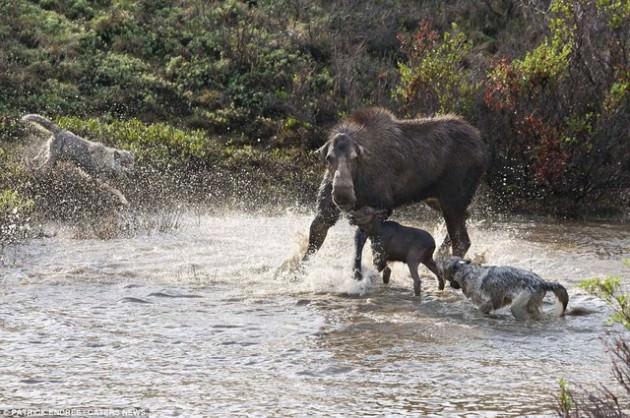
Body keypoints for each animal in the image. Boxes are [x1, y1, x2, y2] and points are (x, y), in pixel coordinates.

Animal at [304, 106, 492, 280]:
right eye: (329, 158)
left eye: (355, 157)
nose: (342, 195)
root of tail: (483, 148)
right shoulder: (327, 211)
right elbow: (315, 236)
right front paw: (299, 271)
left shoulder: (382, 206)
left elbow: (364, 240)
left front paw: (361, 273)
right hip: (436, 199)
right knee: (465, 219)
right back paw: (439, 257)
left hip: (452, 198)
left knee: (461, 240)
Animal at [442, 255, 572, 320]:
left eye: (446, 274)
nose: (450, 285)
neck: (467, 272)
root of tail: (543, 282)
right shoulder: (501, 299)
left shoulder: (490, 301)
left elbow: (481, 308)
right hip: (530, 305)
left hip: (517, 306)